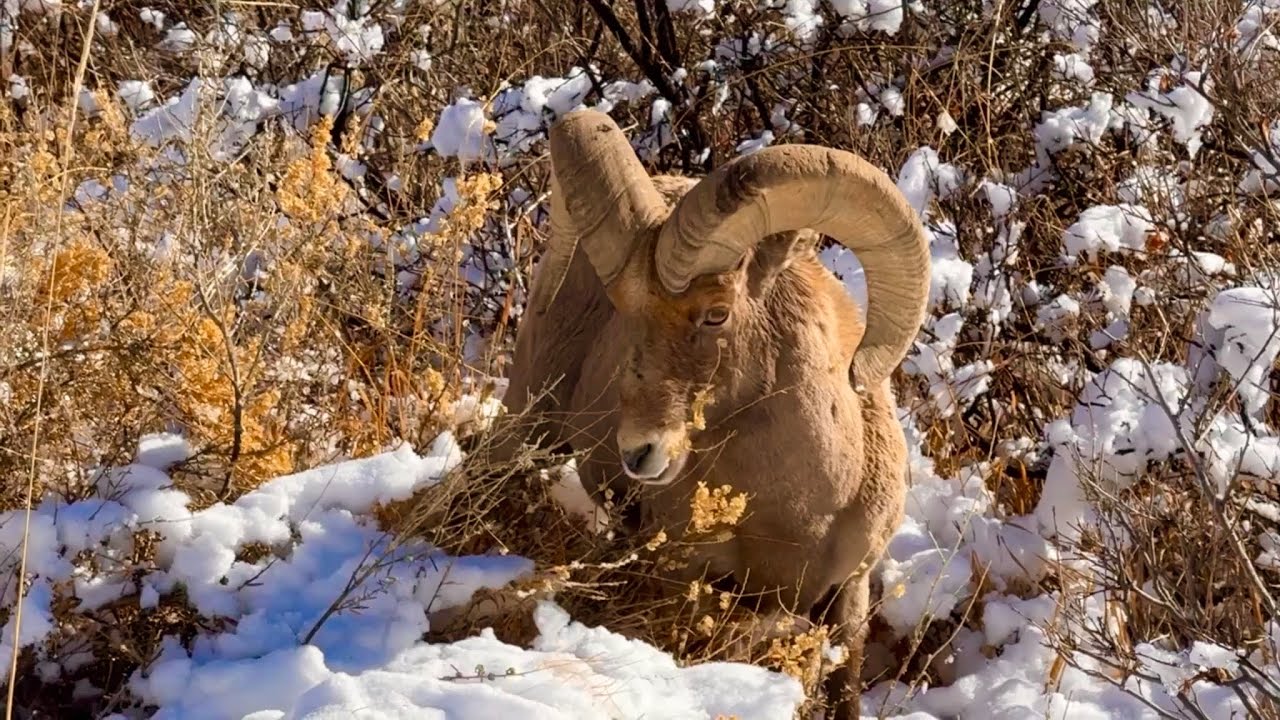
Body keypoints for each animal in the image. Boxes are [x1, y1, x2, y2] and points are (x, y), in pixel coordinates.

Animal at [495, 109, 930, 719]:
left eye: (717, 314)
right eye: (623, 314)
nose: (639, 451)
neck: (797, 516)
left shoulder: (851, 589)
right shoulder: (688, 580)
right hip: (525, 427)